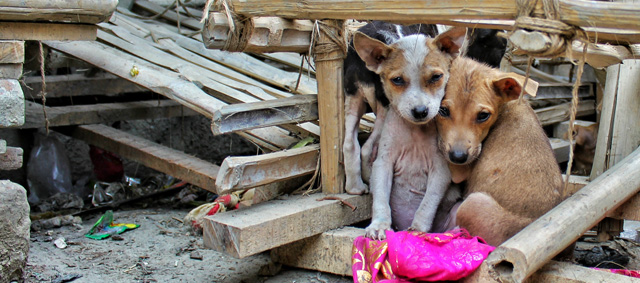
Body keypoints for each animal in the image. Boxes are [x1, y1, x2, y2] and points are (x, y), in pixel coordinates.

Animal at [436, 57, 564, 246]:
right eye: (443, 110)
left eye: (483, 115)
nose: (458, 157)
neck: (507, 106)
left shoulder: (460, 170)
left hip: (472, 203)